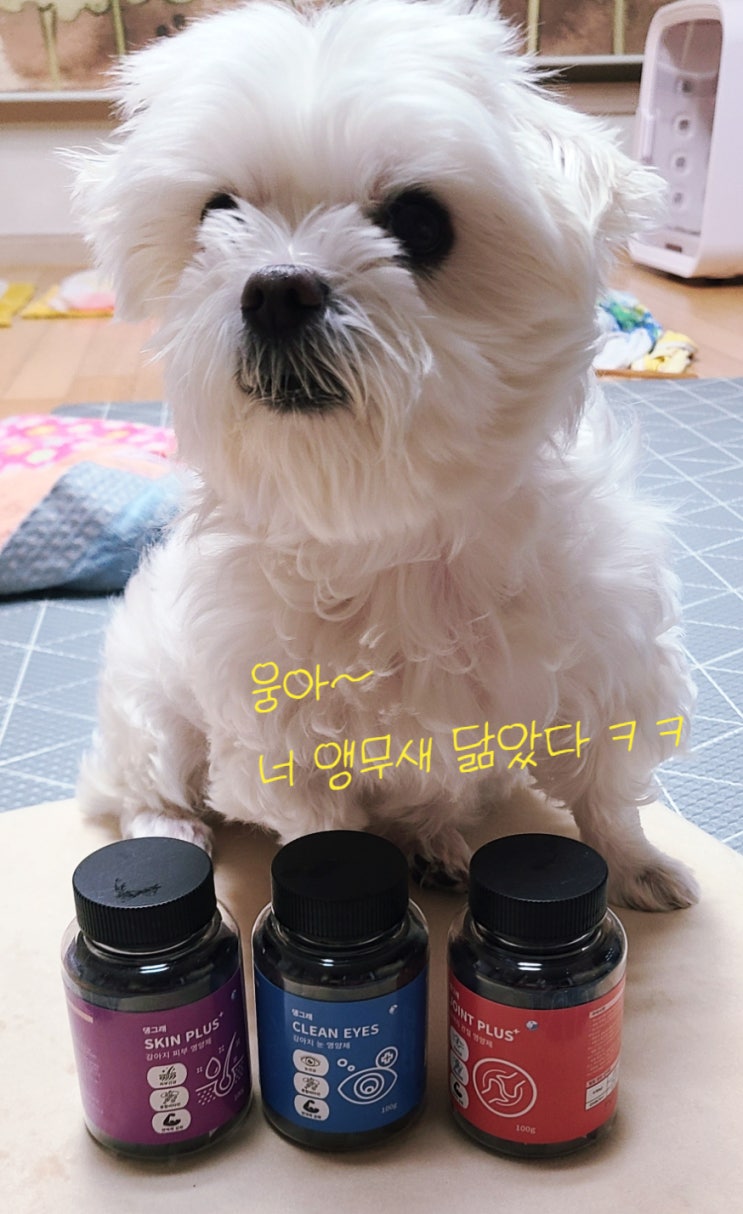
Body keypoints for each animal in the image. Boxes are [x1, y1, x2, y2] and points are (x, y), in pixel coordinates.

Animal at [73, 0, 698, 911]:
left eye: (421, 222)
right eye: (217, 213)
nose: (276, 289)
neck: (391, 526)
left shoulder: (601, 673)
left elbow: (603, 793)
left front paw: (636, 866)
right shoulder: (282, 750)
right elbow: (326, 832)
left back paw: (435, 843)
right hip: (152, 707)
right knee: (142, 785)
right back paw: (172, 836)